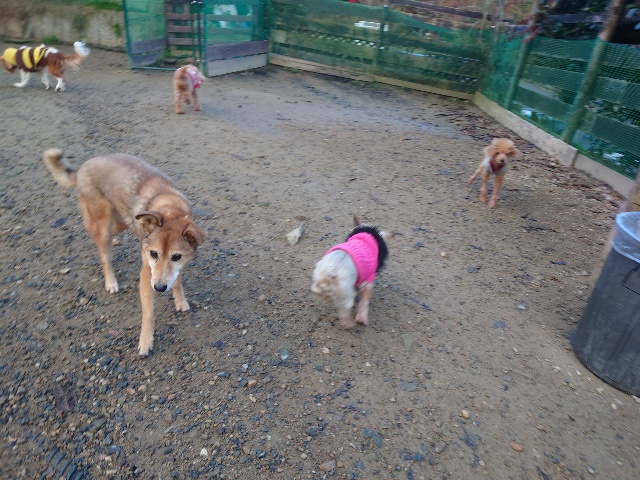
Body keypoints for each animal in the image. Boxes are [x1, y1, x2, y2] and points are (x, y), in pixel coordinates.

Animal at [43, 149, 207, 356]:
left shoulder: (176, 268)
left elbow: (177, 280)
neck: (171, 208)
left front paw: (180, 300)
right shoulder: (147, 274)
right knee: (103, 253)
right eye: (153, 254)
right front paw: (145, 341)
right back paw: (111, 281)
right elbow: (149, 313)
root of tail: (84, 165)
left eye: (176, 256)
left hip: (123, 220)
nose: (159, 288)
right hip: (103, 223)